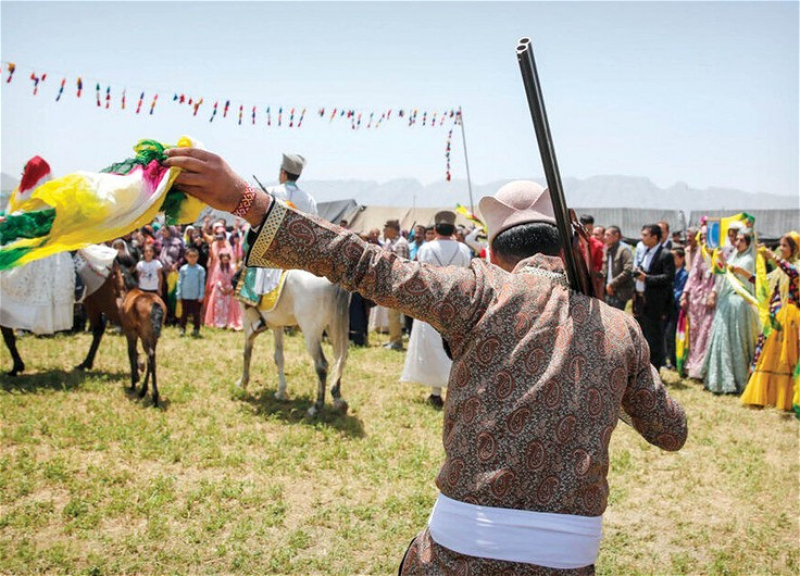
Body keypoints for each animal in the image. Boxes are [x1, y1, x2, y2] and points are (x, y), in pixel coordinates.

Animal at [236, 272, 352, 416]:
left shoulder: (247, 318)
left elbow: (247, 352)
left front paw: (243, 382)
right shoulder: (277, 325)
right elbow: (278, 357)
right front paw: (281, 391)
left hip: (311, 332)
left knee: (322, 365)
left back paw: (316, 407)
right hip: (334, 328)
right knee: (339, 361)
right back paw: (339, 401)